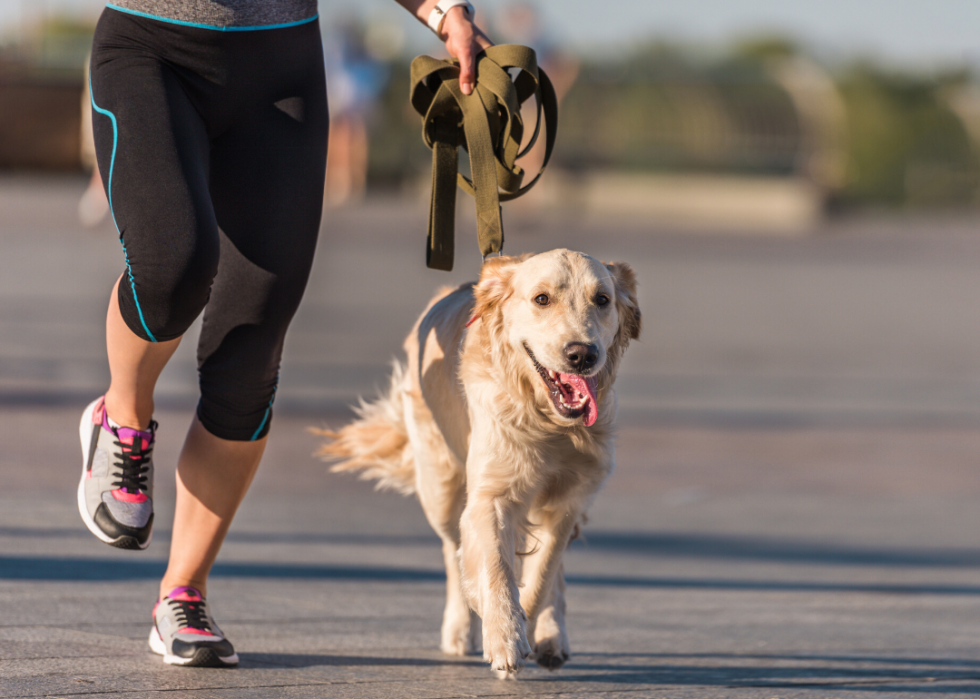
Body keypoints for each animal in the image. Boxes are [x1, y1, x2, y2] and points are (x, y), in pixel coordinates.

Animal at [318, 250, 640, 680]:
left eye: (602, 300)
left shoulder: (568, 502)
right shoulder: (491, 495)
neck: (548, 422)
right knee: (452, 551)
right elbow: (495, 567)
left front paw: (527, 628)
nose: (582, 354)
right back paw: (460, 628)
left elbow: (542, 575)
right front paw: (503, 635)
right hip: (440, 490)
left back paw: (552, 636)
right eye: (541, 299)